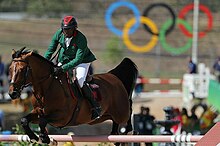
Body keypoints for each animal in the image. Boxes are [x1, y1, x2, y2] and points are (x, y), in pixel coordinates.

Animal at [8, 47, 138, 145]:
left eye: (22, 69)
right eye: (10, 69)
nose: (12, 93)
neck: (46, 88)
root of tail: (114, 77)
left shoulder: (62, 116)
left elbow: (43, 121)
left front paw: (44, 137)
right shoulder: (38, 112)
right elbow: (25, 120)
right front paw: (34, 137)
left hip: (121, 112)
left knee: (129, 110)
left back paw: (129, 130)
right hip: (105, 116)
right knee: (115, 125)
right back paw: (116, 135)